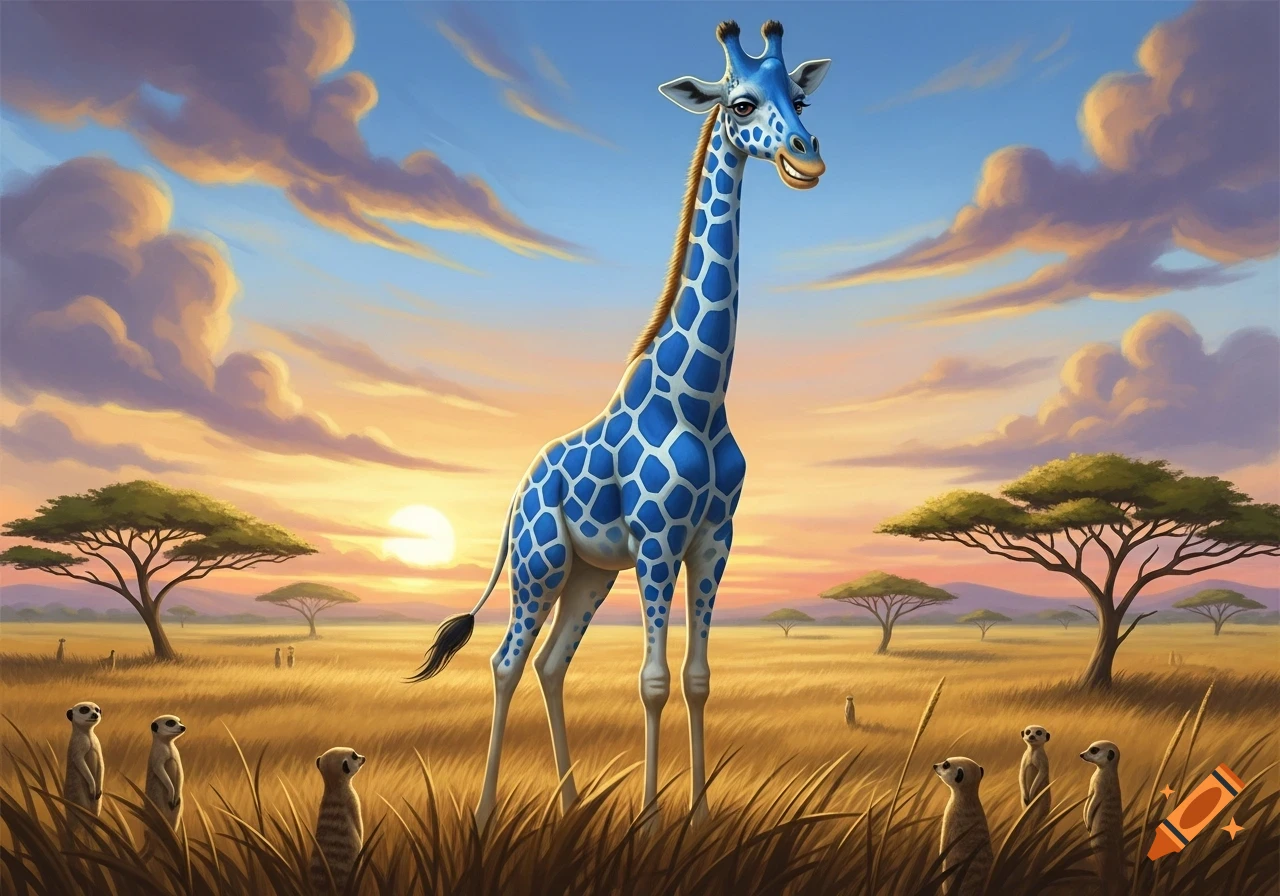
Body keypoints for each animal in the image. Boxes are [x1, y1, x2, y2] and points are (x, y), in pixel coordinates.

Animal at [409, 19, 831, 832]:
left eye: (799, 96)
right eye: (739, 103)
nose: (807, 156)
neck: (699, 397)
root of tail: (517, 495)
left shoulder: (714, 539)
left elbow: (696, 678)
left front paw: (698, 818)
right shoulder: (659, 539)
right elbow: (653, 680)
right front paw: (651, 822)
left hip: (589, 573)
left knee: (550, 663)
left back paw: (574, 805)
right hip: (540, 562)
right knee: (506, 661)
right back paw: (486, 815)